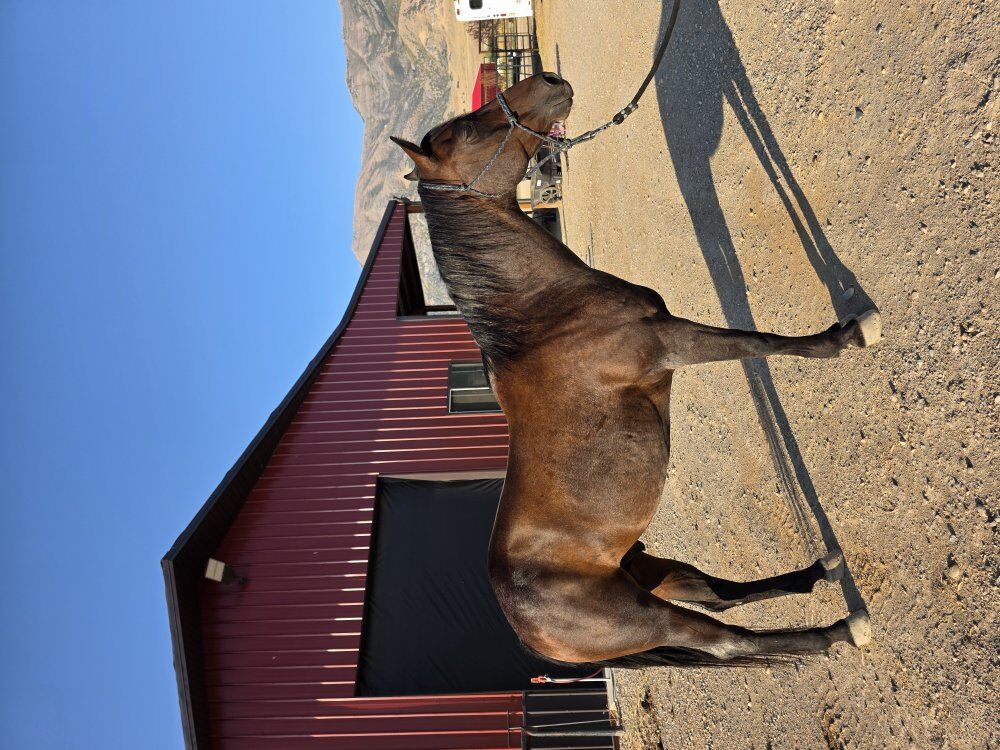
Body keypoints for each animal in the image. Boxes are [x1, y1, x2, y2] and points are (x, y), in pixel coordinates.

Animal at [391, 71, 880, 669]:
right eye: (464, 131)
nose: (548, 81)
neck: (546, 314)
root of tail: (530, 632)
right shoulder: (671, 342)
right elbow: (758, 341)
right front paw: (849, 335)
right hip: (649, 614)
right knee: (727, 639)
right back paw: (842, 630)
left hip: (651, 570)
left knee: (721, 595)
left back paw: (820, 572)